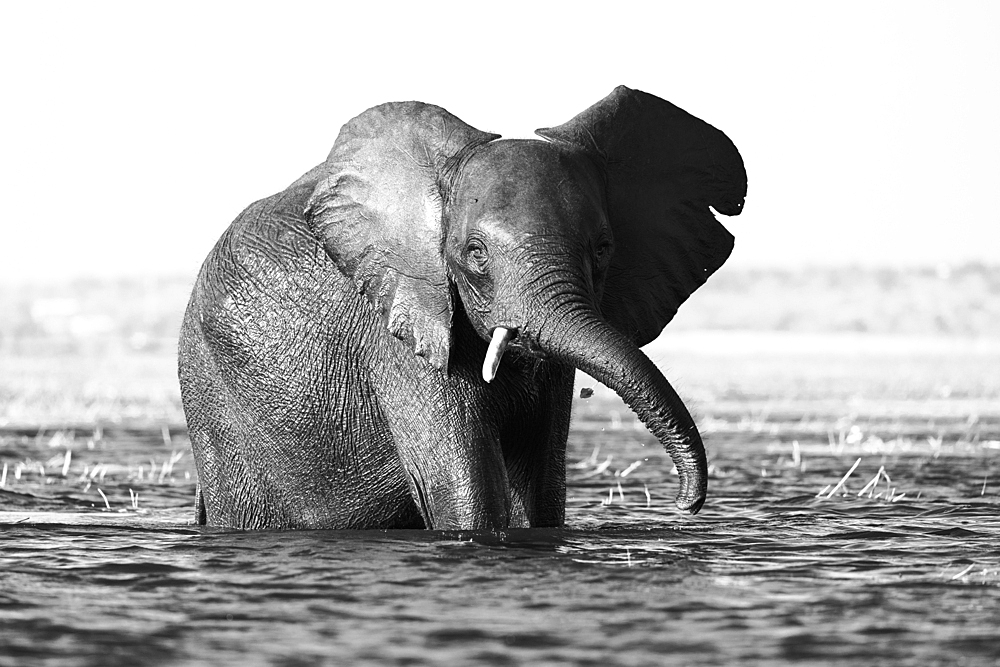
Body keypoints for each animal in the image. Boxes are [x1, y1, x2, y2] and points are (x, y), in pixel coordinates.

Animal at [178, 85, 744, 532]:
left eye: (603, 249)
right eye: (474, 253)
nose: (685, 505)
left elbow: (541, 489)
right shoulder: (400, 333)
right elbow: (466, 492)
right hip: (213, 400)